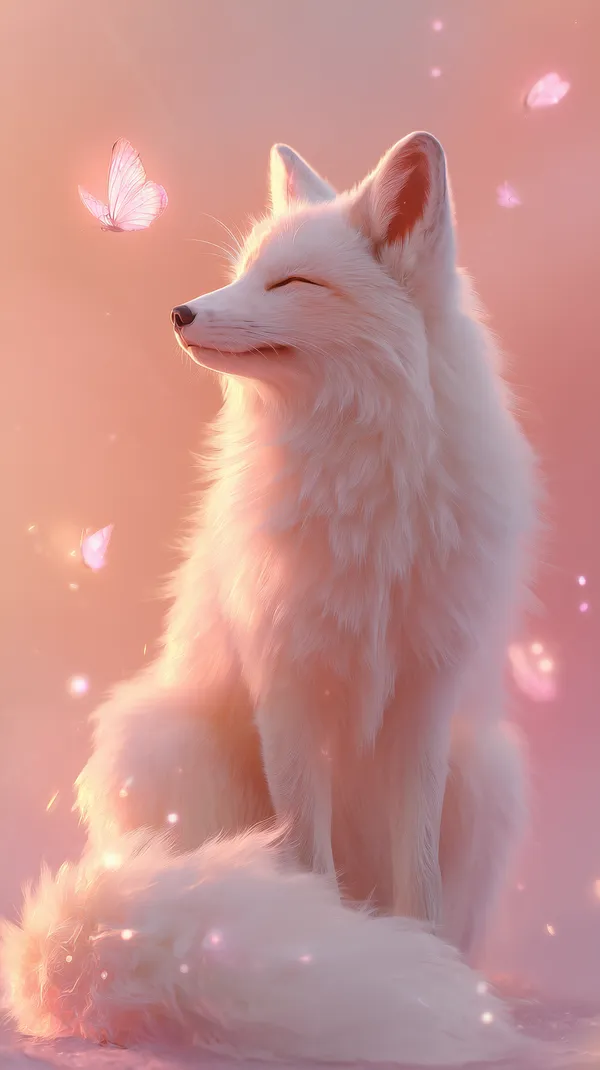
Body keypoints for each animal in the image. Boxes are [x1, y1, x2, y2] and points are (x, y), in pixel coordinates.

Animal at [1, 132, 540, 1064]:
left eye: (291, 284)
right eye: (246, 272)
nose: (180, 312)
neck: (361, 477)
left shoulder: (423, 704)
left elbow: (422, 881)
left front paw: (428, 974)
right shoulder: (287, 687)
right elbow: (305, 867)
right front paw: (336, 955)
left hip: (491, 771)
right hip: (171, 751)